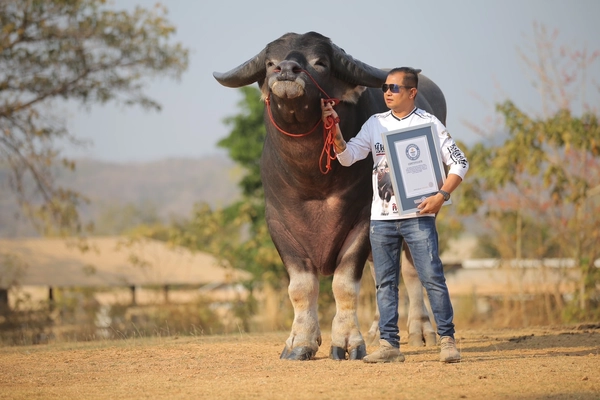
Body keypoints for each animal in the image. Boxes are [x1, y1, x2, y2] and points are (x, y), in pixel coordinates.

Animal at [212, 29, 440, 358]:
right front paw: (301, 342)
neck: (312, 180)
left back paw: (421, 330)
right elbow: (301, 287)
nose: (286, 70)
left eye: (320, 62)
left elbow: (344, 284)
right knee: (380, 273)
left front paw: (347, 341)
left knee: (410, 270)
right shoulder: (278, 224)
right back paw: (376, 331)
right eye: (270, 63)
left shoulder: (362, 220)